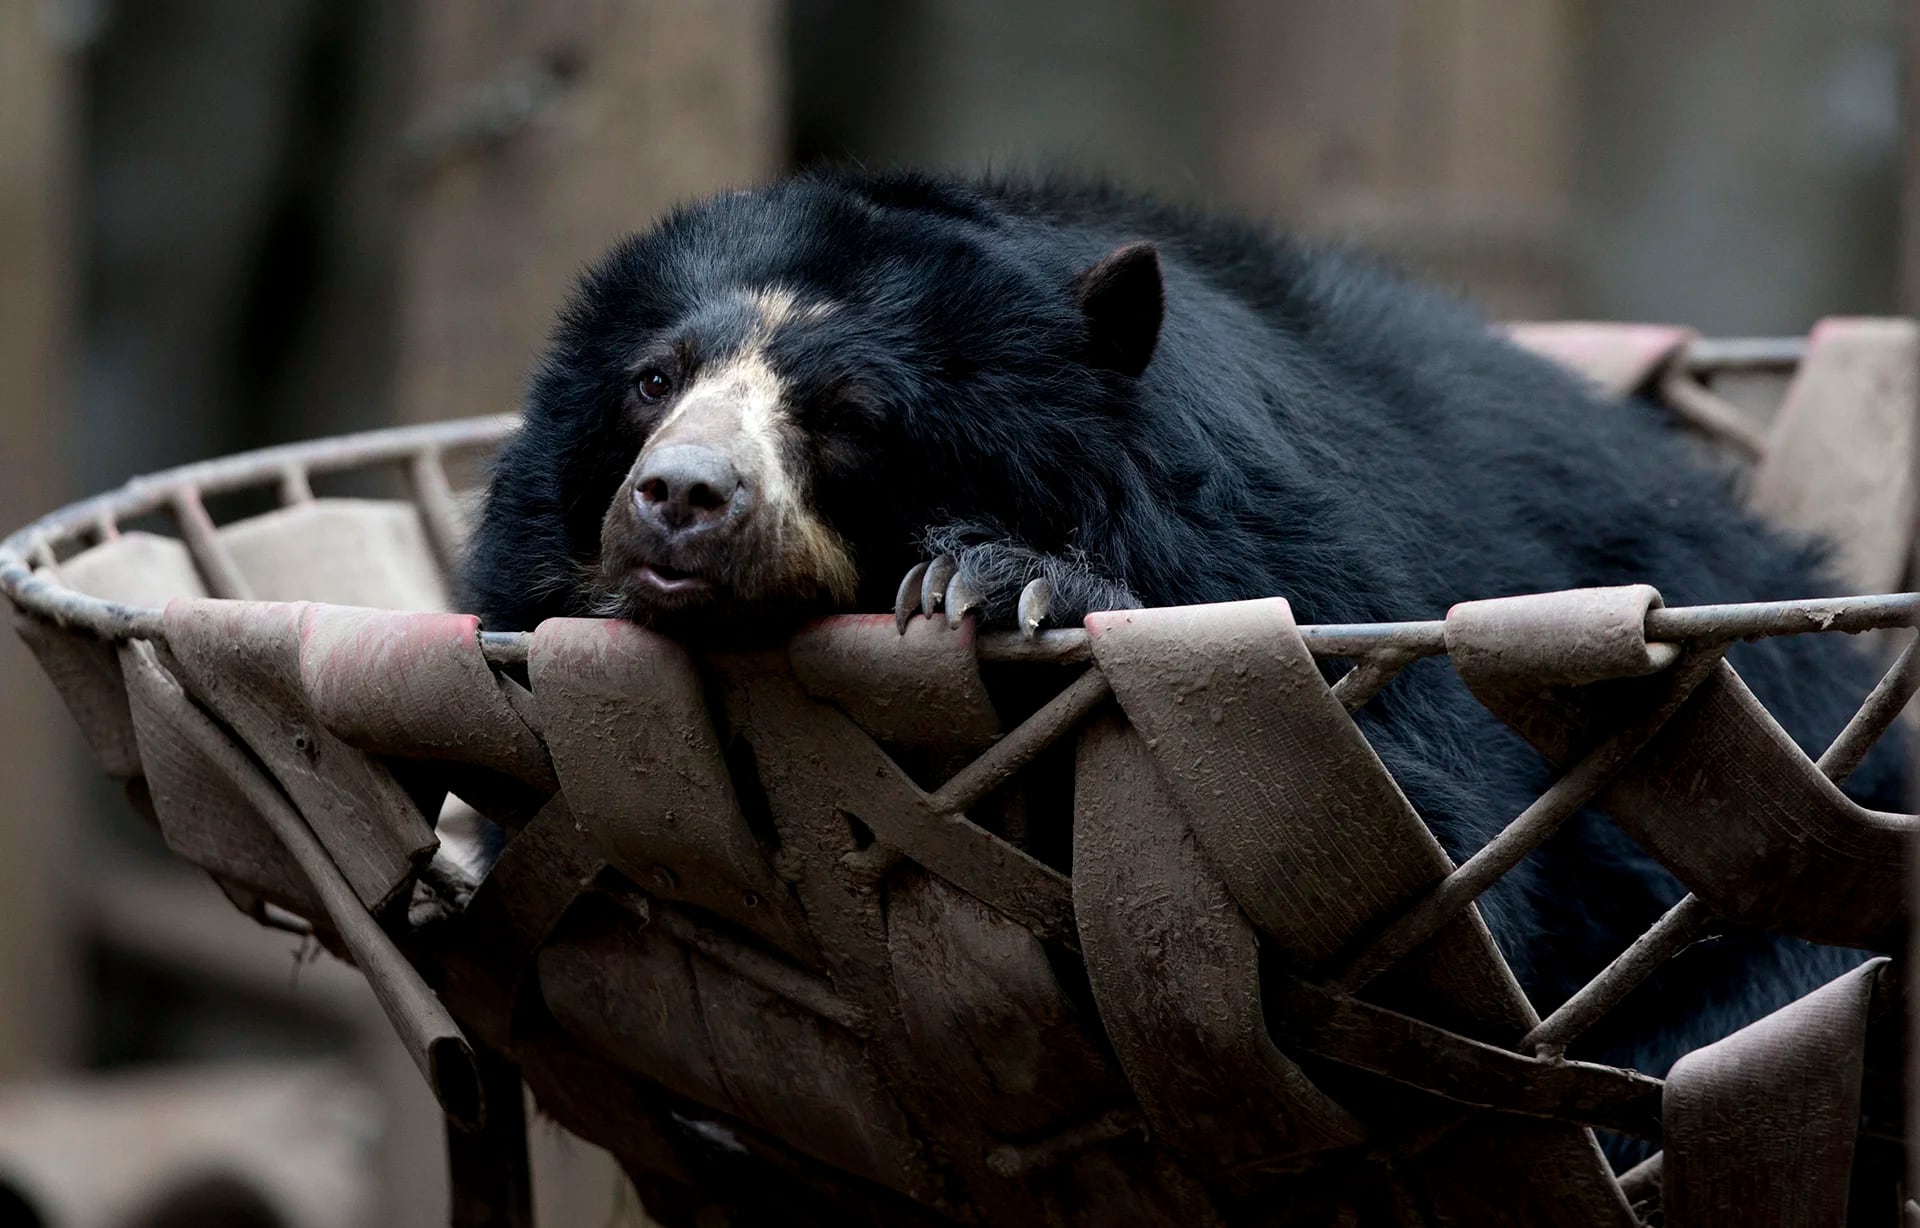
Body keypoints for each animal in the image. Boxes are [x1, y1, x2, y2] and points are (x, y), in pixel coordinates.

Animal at [460, 167, 1904, 1166]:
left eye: (852, 415)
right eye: (653, 381)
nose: (681, 499)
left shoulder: (1291, 557)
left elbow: (1408, 876)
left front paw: (999, 585)